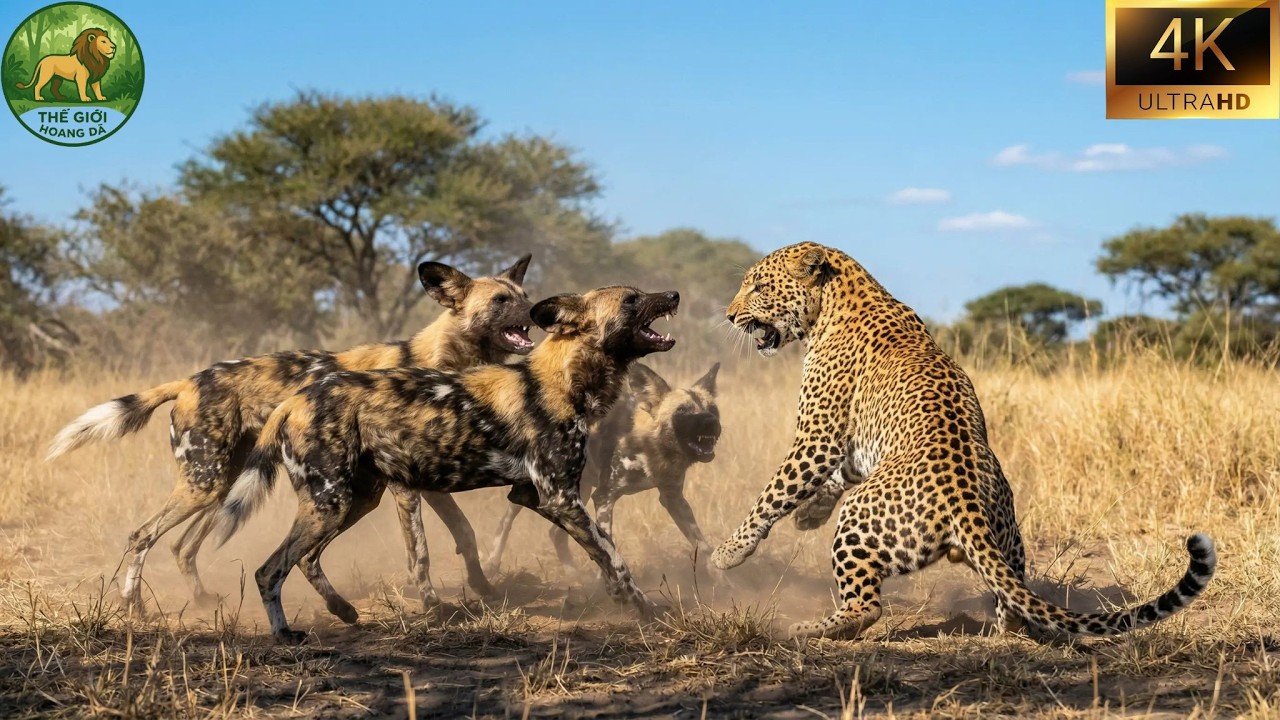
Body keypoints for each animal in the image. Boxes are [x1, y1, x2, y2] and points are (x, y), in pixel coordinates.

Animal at [710, 241, 1216, 641]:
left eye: (759, 287)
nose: (730, 316)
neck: (839, 298)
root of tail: (965, 503)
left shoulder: (817, 435)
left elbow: (775, 490)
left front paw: (730, 552)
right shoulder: (854, 446)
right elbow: (831, 477)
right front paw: (807, 516)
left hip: (859, 519)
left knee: (867, 606)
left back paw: (809, 628)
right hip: (1006, 539)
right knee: (1014, 600)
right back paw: (1005, 625)